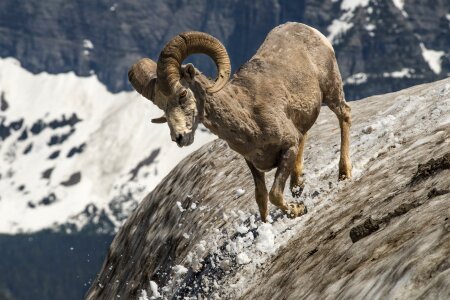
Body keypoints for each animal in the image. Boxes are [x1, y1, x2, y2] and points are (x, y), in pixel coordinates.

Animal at [128, 22, 354, 220]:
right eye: (162, 107)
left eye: (182, 94)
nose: (179, 137)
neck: (249, 118)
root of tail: (311, 31)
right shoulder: (253, 163)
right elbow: (261, 198)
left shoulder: (288, 147)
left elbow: (274, 194)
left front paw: (298, 210)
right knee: (305, 134)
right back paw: (298, 185)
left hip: (332, 91)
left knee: (345, 115)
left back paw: (344, 174)